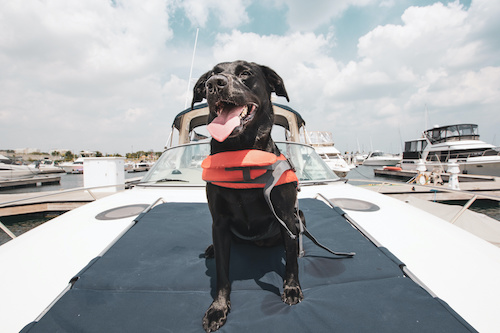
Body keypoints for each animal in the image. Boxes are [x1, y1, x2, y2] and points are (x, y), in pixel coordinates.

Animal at [191, 61, 302, 330]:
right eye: (210, 76)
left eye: (245, 73)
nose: (214, 84)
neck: (241, 156)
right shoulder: (219, 223)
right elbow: (222, 273)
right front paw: (218, 309)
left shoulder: (286, 216)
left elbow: (291, 262)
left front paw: (291, 288)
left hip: (297, 216)